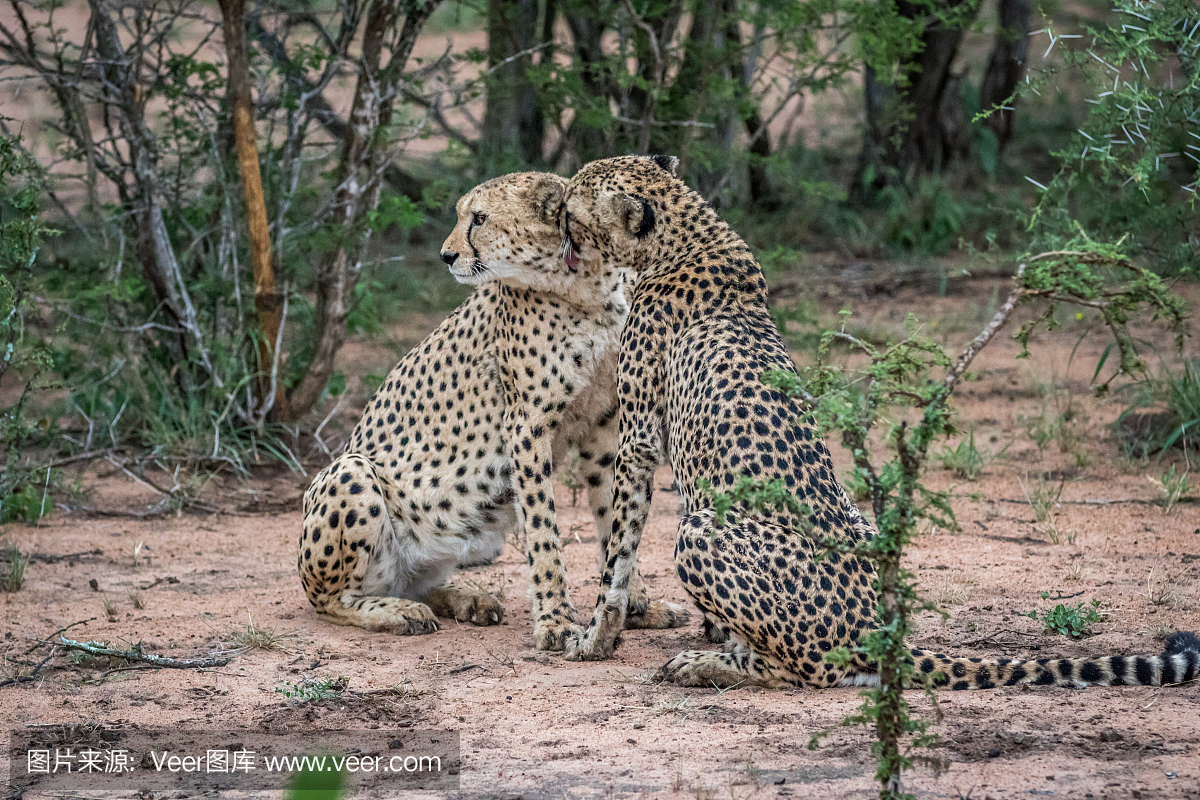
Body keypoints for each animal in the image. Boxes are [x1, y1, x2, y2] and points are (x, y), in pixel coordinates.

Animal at [300, 170, 686, 652]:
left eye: (480, 218)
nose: (446, 255)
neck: (587, 288)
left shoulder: (604, 423)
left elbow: (614, 519)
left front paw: (635, 605)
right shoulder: (527, 425)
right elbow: (543, 528)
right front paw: (556, 621)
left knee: (415, 583)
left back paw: (466, 599)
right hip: (350, 472)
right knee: (336, 600)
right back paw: (400, 612)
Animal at [559, 153, 1200, 690]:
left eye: (580, 193)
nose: (560, 195)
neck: (686, 237)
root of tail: (875, 629)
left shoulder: (639, 441)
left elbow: (616, 559)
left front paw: (595, 639)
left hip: (701, 533)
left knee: (803, 671)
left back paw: (707, 664)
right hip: (858, 530)